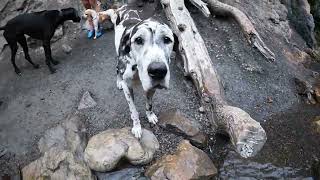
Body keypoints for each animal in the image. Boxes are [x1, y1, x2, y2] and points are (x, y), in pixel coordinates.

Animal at [108, 5, 175, 138]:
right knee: (117, 68)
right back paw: (118, 81)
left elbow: (149, 105)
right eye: (138, 40)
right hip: (118, 57)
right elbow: (133, 111)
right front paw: (137, 127)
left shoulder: (152, 88)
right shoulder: (128, 88)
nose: (158, 70)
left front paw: (150, 116)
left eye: (167, 39)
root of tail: (123, 6)